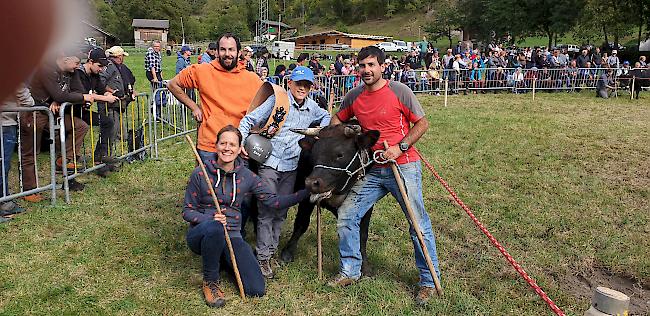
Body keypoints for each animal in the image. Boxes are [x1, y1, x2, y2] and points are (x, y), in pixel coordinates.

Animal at [278, 123, 380, 276]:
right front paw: (287, 253)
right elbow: (301, 223)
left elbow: (362, 234)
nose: (312, 183)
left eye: (340, 155)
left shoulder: (366, 203)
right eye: (313, 154)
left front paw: (365, 266)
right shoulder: (305, 197)